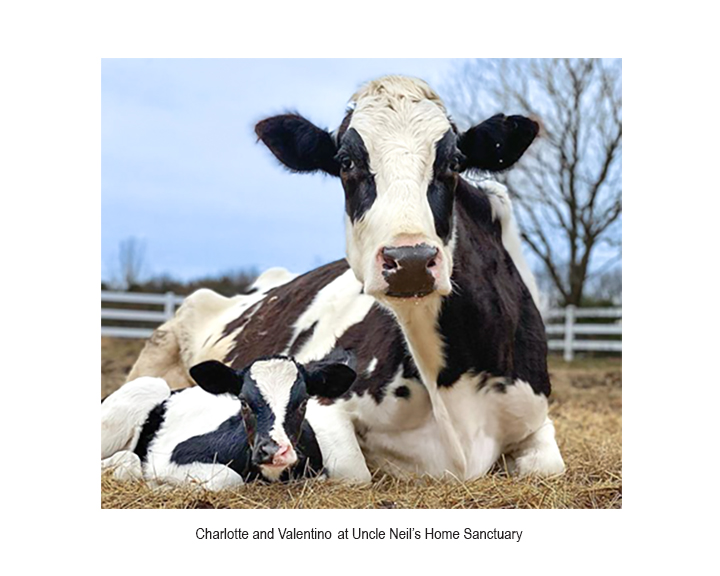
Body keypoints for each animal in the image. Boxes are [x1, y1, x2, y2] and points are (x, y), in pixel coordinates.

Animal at [100, 352, 358, 490]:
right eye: (243, 402)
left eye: (303, 402)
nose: (273, 450)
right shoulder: (171, 459)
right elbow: (229, 479)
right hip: (143, 389)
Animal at [124, 75, 564, 482]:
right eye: (346, 162)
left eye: (455, 161)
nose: (411, 260)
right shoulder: (324, 406)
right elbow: (354, 471)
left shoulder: (536, 418)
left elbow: (549, 467)